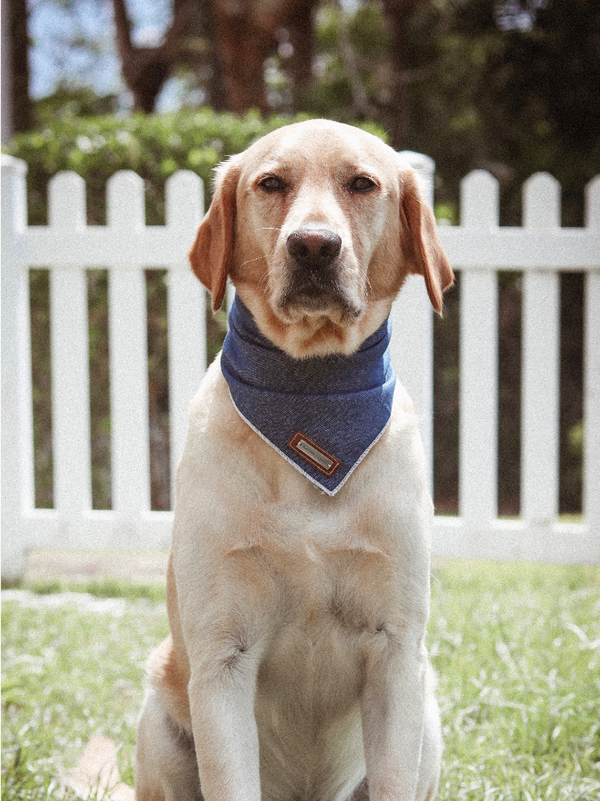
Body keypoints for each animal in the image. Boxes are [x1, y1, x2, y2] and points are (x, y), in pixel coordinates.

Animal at [134, 119, 452, 800]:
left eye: (362, 184)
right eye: (271, 183)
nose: (313, 246)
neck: (311, 399)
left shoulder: (396, 654)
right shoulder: (222, 657)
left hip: (429, 713)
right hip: (161, 723)